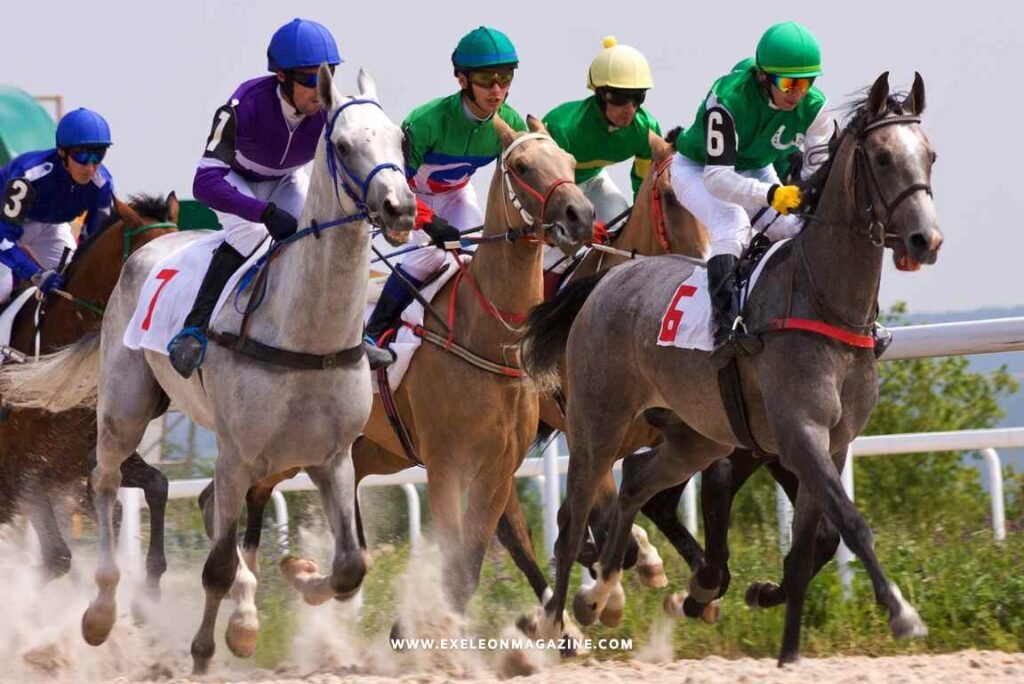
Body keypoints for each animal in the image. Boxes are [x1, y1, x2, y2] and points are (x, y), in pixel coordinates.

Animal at [517, 73, 941, 664]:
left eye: (930, 155)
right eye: (880, 157)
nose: (925, 240)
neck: (824, 302)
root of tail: (608, 279)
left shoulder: (826, 444)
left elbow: (812, 545)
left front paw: (783, 641)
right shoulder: (800, 434)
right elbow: (851, 524)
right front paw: (902, 611)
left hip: (696, 437)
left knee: (636, 486)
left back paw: (601, 595)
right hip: (597, 425)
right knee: (573, 519)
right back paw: (557, 623)